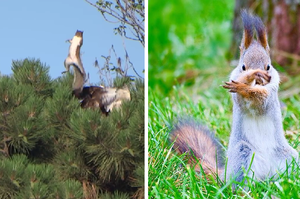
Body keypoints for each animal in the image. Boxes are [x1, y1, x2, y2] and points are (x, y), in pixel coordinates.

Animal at [170, 9, 298, 187]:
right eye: (243, 66)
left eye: (268, 66)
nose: (259, 79)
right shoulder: (237, 95)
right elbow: (243, 98)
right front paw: (246, 81)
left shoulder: (271, 94)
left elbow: (262, 101)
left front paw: (248, 87)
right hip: (242, 153)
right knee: (238, 183)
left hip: (289, 157)